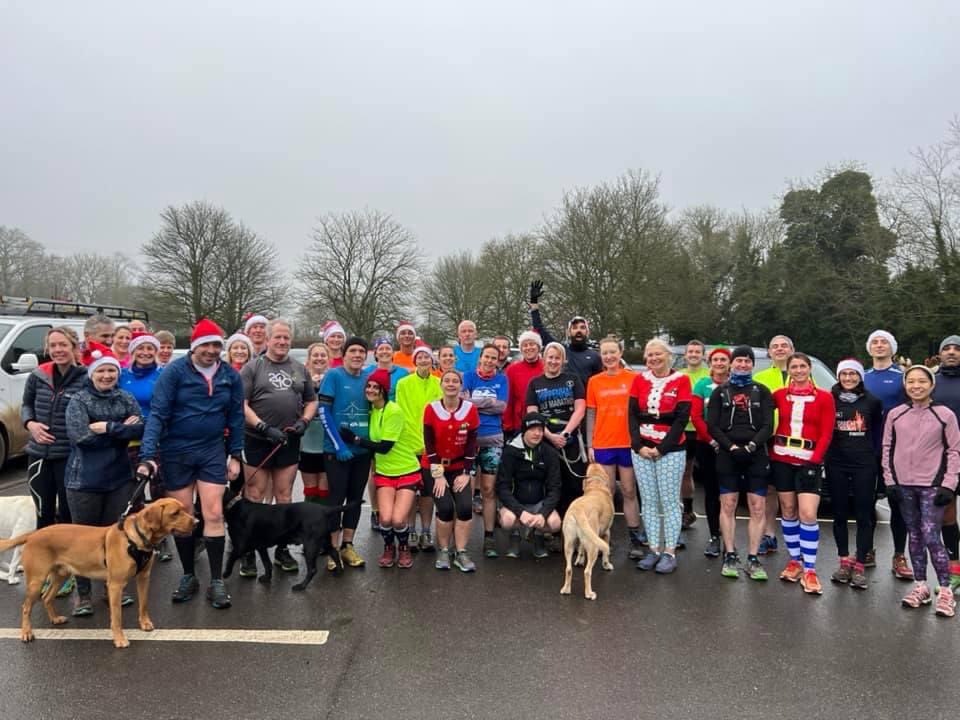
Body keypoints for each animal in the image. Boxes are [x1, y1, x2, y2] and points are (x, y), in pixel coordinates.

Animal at [221, 480, 360, 592]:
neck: (233, 505)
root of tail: (325, 510)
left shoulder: (240, 546)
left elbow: (230, 559)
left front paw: (225, 574)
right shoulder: (261, 546)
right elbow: (267, 563)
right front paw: (267, 578)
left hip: (311, 546)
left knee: (312, 569)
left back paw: (301, 586)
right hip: (324, 542)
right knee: (335, 553)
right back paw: (339, 571)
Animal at [564, 464, 616, 600]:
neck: (596, 486)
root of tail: (578, 510)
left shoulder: (585, 538)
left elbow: (581, 549)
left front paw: (579, 560)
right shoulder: (607, 533)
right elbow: (606, 554)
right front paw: (606, 564)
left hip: (569, 544)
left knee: (568, 569)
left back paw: (566, 589)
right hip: (594, 547)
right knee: (587, 572)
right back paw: (589, 593)